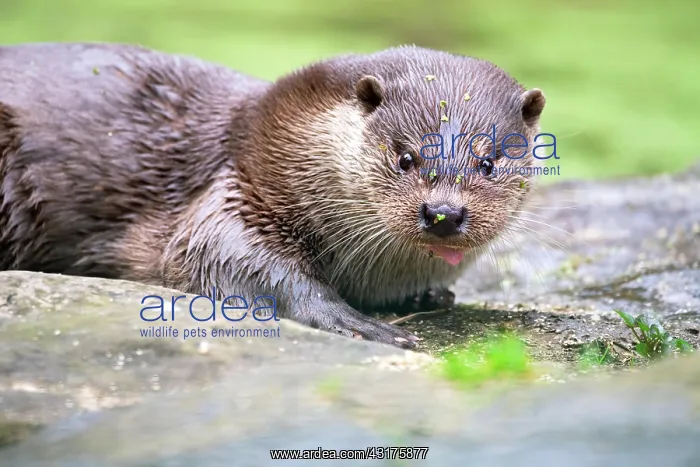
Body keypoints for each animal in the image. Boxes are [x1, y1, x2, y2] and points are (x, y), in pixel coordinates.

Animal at [0, 43, 545, 348]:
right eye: (406, 157)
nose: (443, 212)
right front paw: (358, 322)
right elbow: (220, 256)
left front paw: (431, 295)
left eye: (489, 163)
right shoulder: (235, 185)